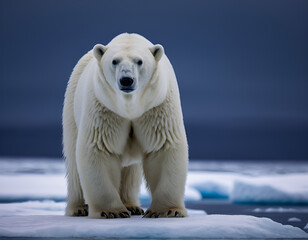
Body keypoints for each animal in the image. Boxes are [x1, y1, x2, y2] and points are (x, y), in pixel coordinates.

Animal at [62, 32, 188, 218]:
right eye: (114, 61)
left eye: (139, 61)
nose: (126, 80)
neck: (130, 107)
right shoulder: (104, 108)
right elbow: (100, 148)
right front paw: (110, 212)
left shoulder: (157, 107)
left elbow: (163, 147)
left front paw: (166, 211)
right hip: (72, 106)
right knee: (73, 162)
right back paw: (79, 208)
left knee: (131, 172)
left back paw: (132, 206)